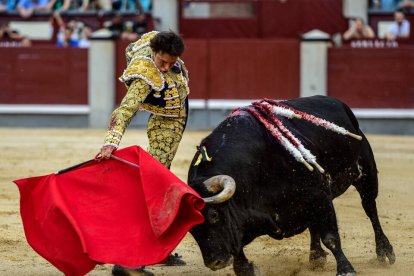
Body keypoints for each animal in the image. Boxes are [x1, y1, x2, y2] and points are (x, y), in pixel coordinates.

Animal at [187, 95, 394, 276]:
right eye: (190, 227)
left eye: (214, 215)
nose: (214, 262)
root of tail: (338, 103)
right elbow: (237, 249)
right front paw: (247, 269)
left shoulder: (320, 196)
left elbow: (331, 237)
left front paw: (346, 269)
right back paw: (316, 257)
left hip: (365, 174)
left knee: (370, 208)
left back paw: (384, 252)